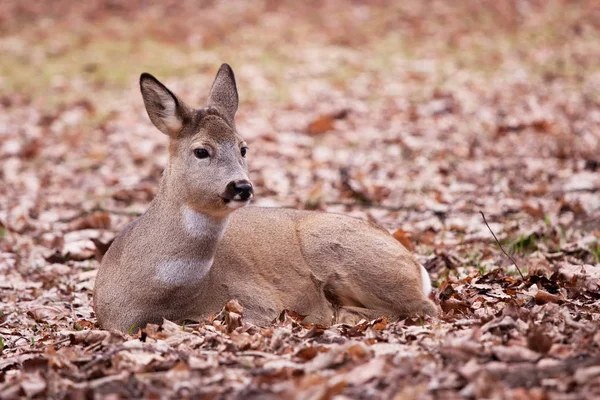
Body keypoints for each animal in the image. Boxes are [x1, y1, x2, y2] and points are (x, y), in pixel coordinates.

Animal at [95, 63, 440, 332]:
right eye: (201, 150)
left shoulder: (258, 305)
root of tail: (416, 265)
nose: (241, 187)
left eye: (243, 148)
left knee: (425, 308)